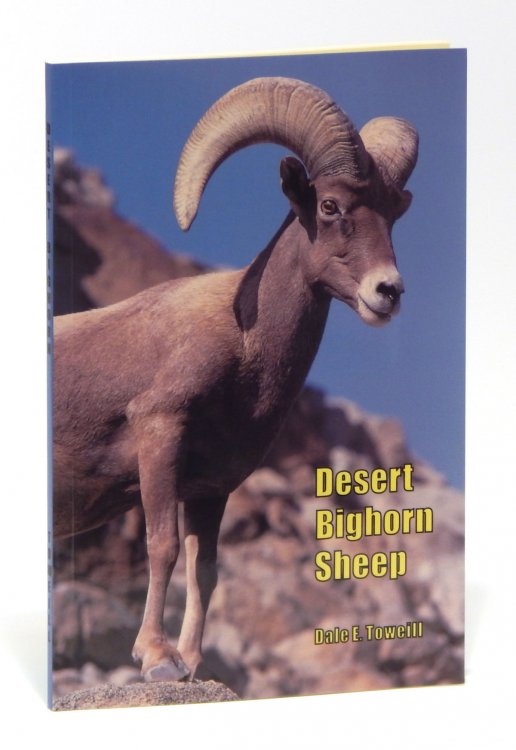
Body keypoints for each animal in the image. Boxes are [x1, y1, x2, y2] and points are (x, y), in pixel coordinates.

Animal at [52, 77, 418, 682]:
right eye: (330, 205)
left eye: (392, 217)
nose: (387, 292)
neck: (246, 347)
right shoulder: (159, 437)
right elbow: (162, 546)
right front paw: (157, 659)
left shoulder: (211, 488)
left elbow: (204, 572)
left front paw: (193, 665)